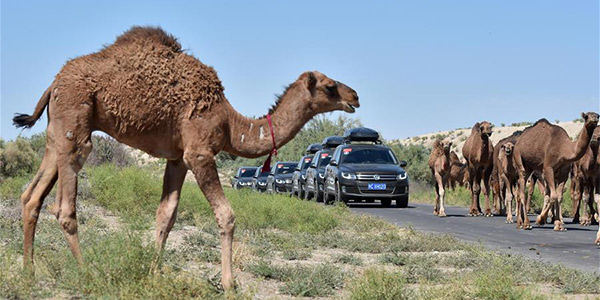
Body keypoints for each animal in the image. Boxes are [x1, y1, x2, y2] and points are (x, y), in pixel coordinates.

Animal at [12, 26, 360, 290]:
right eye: (330, 86)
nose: (354, 96)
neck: (230, 123)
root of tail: (54, 83)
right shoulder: (199, 152)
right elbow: (226, 215)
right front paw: (230, 284)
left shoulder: (177, 158)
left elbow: (165, 215)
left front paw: (153, 273)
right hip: (77, 124)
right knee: (64, 207)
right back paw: (87, 274)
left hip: (56, 134)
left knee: (32, 196)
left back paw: (29, 273)